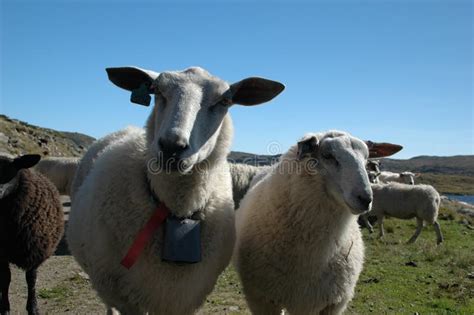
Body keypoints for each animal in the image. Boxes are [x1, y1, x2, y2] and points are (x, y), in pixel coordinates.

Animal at [0, 154, 64, 314]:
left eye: (11, 170)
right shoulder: (2, 253)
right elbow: (5, 279)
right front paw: (5, 307)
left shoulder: (34, 250)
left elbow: (31, 279)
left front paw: (33, 308)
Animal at [66, 65, 286, 314]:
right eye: (157, 91)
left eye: (224, 101)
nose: (172, 146)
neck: (177, 211)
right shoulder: (126, 297)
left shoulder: (185, 297)